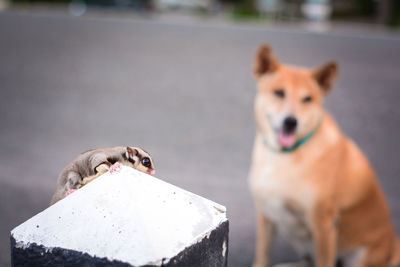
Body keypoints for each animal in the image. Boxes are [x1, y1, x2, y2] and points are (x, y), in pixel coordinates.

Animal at [248, 45, 398, 266]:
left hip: (362, 255)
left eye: (307, 99)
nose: (290, 122)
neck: (284, 157)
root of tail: (392, 244)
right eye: (279, 93)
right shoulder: (266, 213)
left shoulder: (323, 224)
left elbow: (324, 261)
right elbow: (262, 255)